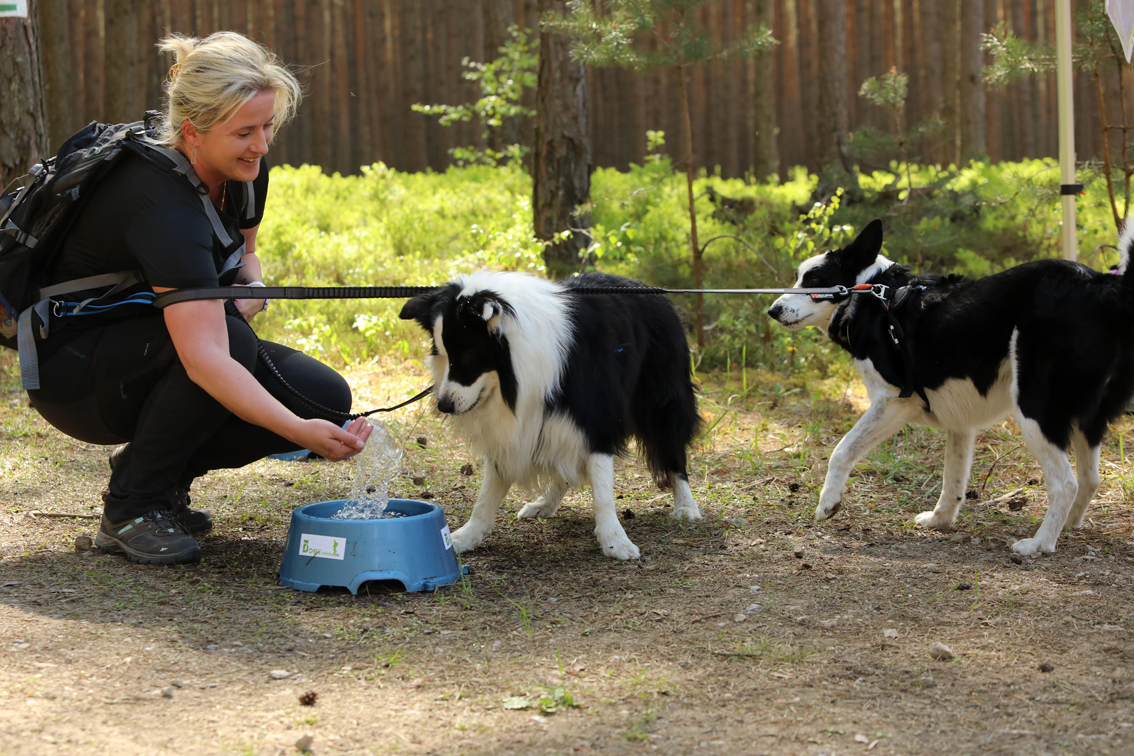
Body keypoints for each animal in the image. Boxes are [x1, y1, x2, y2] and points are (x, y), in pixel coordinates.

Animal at [399, 271, 702, 560]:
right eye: (442, 353)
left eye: (469, 353)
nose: (444, 405)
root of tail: (651, 289)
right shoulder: (514, 427)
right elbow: (489, 490)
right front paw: (466, 536)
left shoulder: (596, 415)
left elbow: (602, 487)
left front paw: (615, 541)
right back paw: (544, 504)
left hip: (662, 400)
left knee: (672, 447)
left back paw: (686, 506)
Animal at [767, 219, 1134, 555]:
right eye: (799, 278)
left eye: (814, 282)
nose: (772, 310)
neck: (874, 295)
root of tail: (1100, 285)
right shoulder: (960, 422)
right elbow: (953, 480)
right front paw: (939, 520)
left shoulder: (892, 401)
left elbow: (841, 451)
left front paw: (828, 503)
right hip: (1088, 419)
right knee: (1089, 479)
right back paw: (1067, 525)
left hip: (1034, 410)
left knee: (1066, 483)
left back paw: (1039, 543)